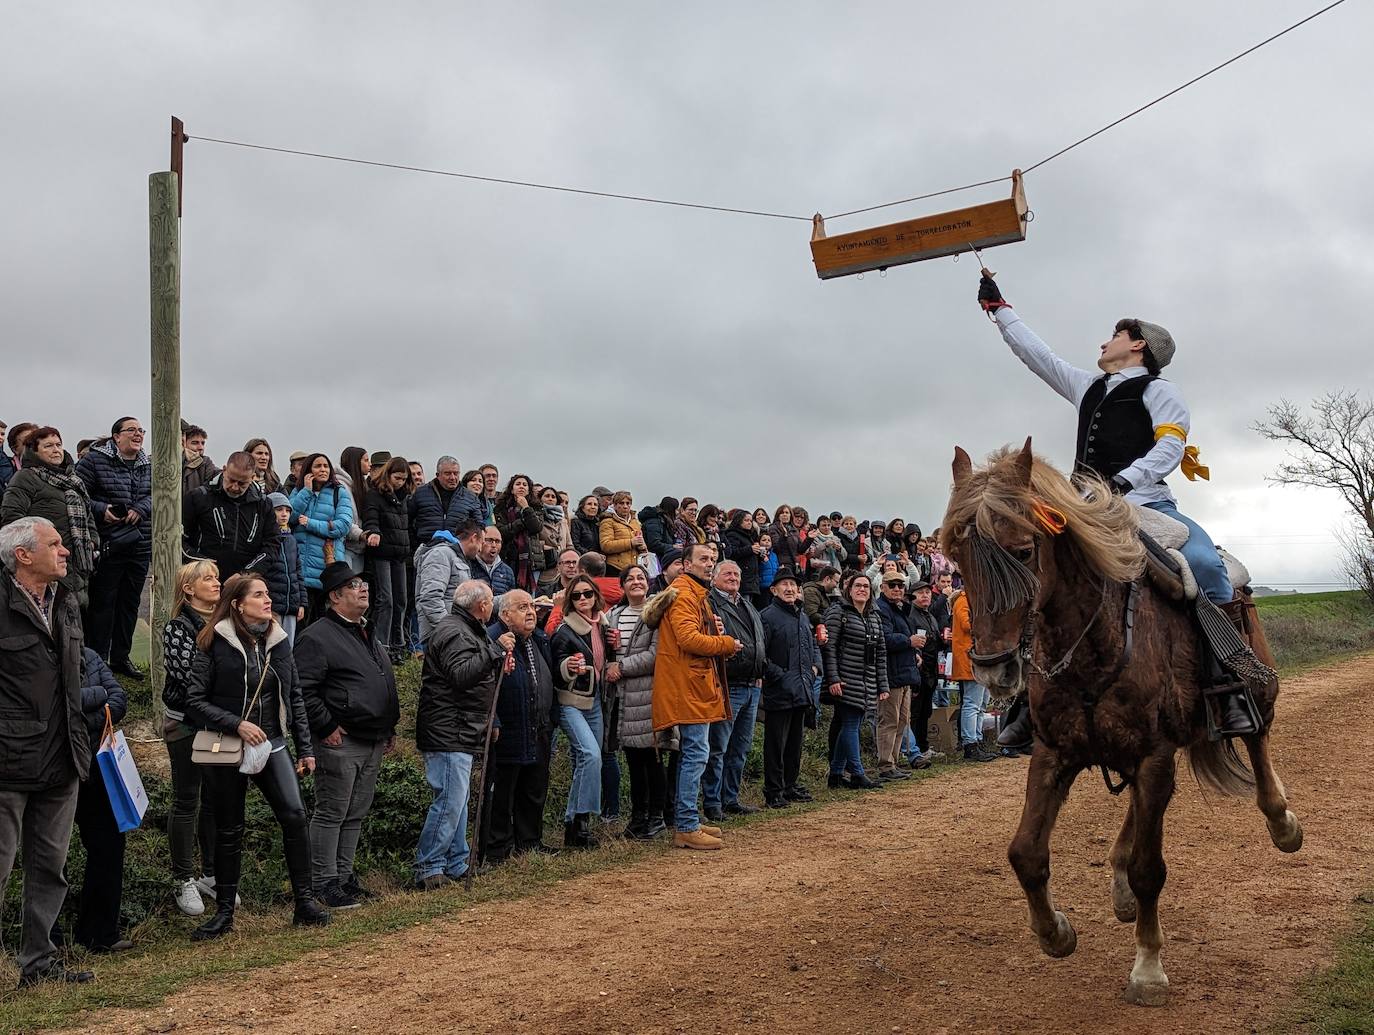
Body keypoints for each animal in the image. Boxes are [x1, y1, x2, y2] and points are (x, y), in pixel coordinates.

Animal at [939, 439, 1302, 1006]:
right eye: (957, 559)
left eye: (1023, 551)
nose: (994, 667)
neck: (1096, 641)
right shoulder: (1055, 754)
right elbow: (1025, 854)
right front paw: (1055, 933)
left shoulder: (1153, 756)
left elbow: (1150, 869)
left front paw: (1148, 968)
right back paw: (1120, 886)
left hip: (1256, 693)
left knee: (1259, 741)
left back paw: (1282, 821)